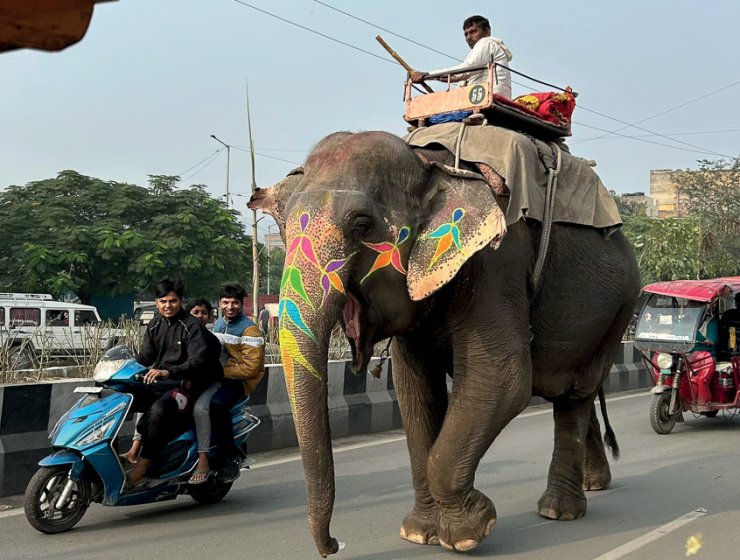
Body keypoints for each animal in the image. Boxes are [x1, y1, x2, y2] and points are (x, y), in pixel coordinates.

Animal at [248, 129, 640, 557]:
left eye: (362, 224)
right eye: (284, 227)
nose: (334, 545)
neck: (428, 164)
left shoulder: (495, 263)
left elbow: (503, 378)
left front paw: (470, 531)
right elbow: (414, 388)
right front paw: (419, 533)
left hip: (619, 310)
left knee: (576, 395)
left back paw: (559, 511)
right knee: (572, 394)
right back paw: (592, 484)